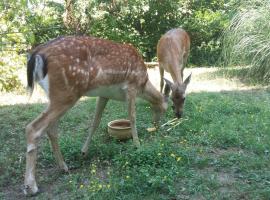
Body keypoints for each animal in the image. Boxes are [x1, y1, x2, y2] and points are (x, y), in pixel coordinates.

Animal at [23, 36, 167, 195]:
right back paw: (31, 186)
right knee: (33, 128)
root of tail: (37, 53)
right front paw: (137, 145)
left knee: (51, 129)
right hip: (66, 92)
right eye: (166, 109)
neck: (144, 84)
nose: (156, 126)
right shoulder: (131, 87)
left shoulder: (104, 95)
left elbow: (95, 122)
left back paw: (64, 167)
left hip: (55, 96)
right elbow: (133, 118)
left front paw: (84, 151)